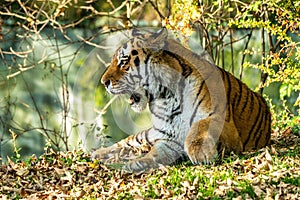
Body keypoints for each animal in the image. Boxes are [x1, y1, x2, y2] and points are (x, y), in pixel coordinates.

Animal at [92, 28, 272, 173]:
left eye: (123, 61)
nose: (103, 82)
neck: (166, 97)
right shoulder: (168, 138)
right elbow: (154, 153)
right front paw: (137, 164)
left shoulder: (224, 122)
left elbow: (199, 125)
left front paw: (199, 152)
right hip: (149, 134)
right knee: (128, 141)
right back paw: (97, 153)